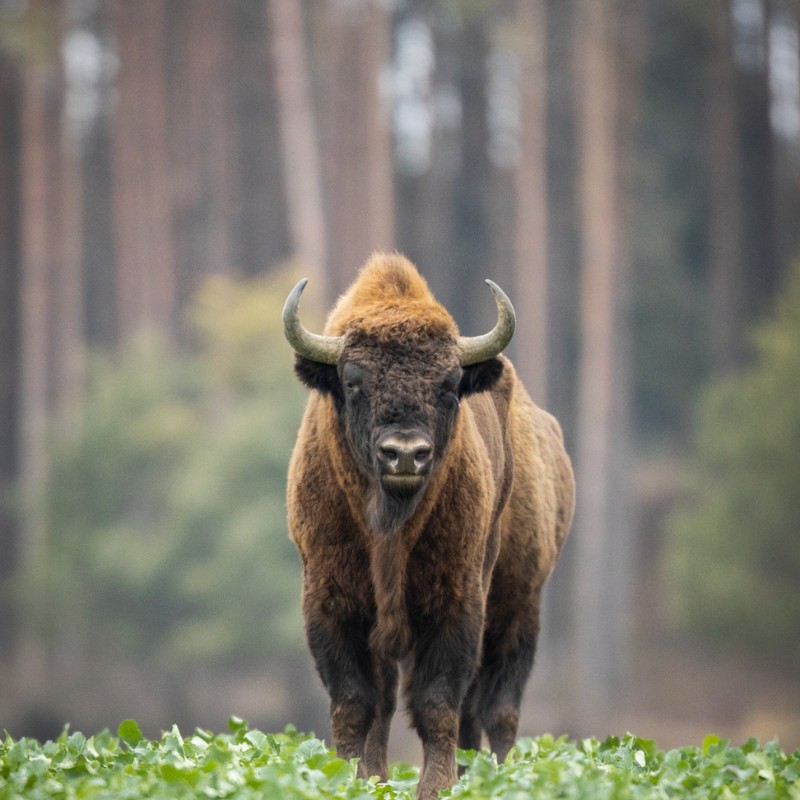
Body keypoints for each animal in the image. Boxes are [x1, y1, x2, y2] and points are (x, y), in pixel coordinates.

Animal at [283, 252, 574, 800]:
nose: (405, 453)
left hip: (519, 605)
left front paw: (436, 786)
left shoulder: (456, 600)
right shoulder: (331, 601)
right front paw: (350, 779)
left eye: (448, 384)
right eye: (353, 381)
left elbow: (438, 702)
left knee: (496, 708)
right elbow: (356, 703)